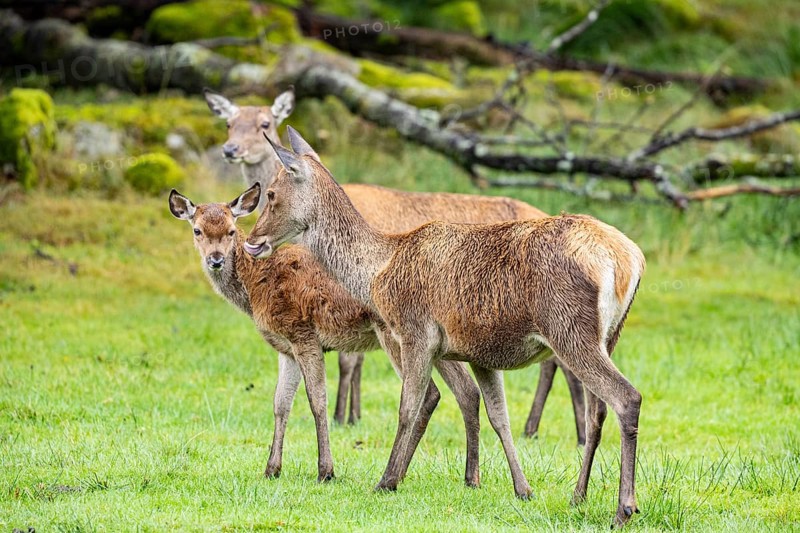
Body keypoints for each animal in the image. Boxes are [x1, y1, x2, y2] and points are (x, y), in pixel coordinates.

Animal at [168, 183, 482, 487]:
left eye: (231, 230)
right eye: (197, 230)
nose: (216, 260)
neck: (256, 286)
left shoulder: (303, 333)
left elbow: (317, 401)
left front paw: (326, 471)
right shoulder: (285, 347)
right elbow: (280, 403)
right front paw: (271, 469)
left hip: (396, 335)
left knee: (428, 393)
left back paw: (397, 475)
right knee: (465, 390)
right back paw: (463, 477)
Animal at [204, 89, 587, 445]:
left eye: (265, 123)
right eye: (229, 123)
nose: (230, 149)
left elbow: (350, 360)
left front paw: (346, 415)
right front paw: (352, 414)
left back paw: (565, 431)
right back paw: (547, 429)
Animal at [245, 127, 646, 527]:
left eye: (271, 193)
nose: (252, 240)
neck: (376, 271)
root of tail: (627, 260)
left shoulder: (414, 333)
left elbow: (408, 407)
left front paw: (386, 480)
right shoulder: (482, 353)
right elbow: (499, 416)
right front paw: (522, 489)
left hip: (569, 327)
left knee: (627, 397)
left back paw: (623, 508)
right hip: (609, 334)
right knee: (598, 411)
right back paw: (579, 495)